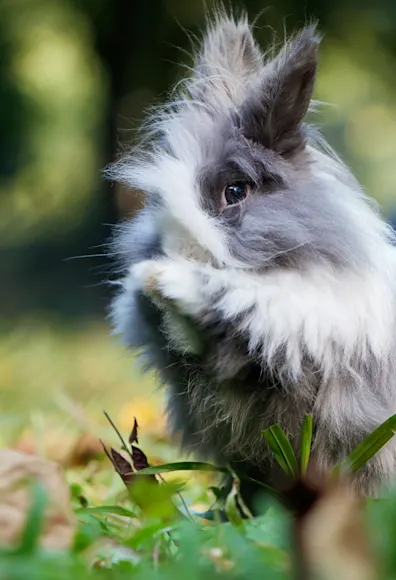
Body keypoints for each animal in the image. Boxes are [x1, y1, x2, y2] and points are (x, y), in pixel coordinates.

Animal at [106, 10, 396, 508]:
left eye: (235, 192)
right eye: (155, 201)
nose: (175, 253)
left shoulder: (300, 316)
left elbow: (245, 304)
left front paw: (168, 281)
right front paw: (153, 287)